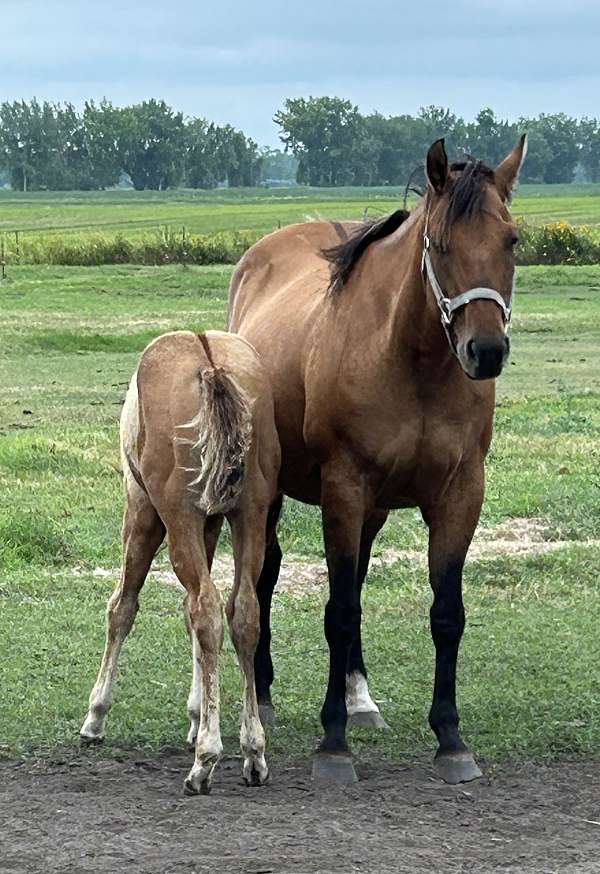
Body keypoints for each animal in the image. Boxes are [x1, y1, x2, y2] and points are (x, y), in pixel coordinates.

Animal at [80, 330, 281, 794]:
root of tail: (209, 362)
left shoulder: (143, 510)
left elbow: (122, 607)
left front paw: (96, 716)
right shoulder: (212, 521)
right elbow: (198, 621)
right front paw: (197, 713)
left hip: (173, 516)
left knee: (205, 608)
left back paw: (205, 760)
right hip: (250, 515)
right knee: (242, 613)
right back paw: (252, 752)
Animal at [228, 136, 527, 784]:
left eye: (511, 240)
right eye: (439, 243)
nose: (485, 351)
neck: (410, 361)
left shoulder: (459, 495)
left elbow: (446, 613)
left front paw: (450, 739)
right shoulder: (343, 489)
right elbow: (338, 610)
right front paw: (332, 743)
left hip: (376, 509)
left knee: (358, 577)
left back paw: (361, 697)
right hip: (276, 489)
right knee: (267, 574)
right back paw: (264, 691)